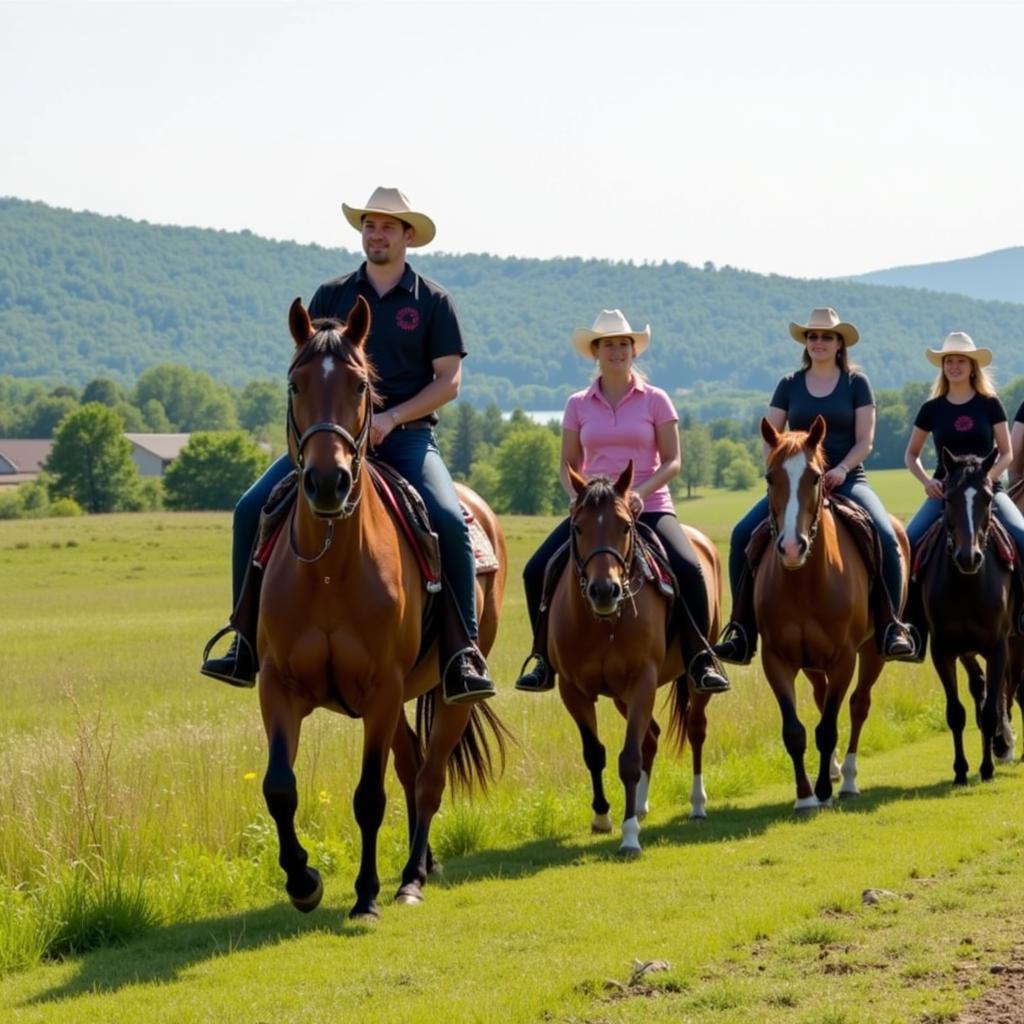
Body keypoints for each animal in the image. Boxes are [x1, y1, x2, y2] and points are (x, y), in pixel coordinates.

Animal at [260, 299, 507, 921]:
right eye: (295, 384)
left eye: (361, 384)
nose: (327, 482)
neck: (329, 566)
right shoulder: (278, 685)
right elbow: (279, 787)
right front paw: (303, 882)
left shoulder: (382, 688)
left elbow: (369, 796)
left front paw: (366, 895)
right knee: (412, 766)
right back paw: (425, 864)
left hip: (446, 694)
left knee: (429, 778)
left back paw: (412, 877)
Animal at [548, 460, 724, 851]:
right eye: (577, 527)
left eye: (625, 526)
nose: (604, 590)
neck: (603, 622)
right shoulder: (573, 690)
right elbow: (594, 753)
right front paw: (602, 817)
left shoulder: (642, 681)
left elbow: (628, 758)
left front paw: (629, 836)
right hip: (620, 696)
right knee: (652, 736)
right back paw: (641, 805)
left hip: (692, 682)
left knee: (695, 729)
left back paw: (697, 804)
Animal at [757, 413, 909, 806]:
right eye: (770, 477)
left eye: (815, 476)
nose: (791, 548)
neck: (805, 583)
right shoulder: (776, 659)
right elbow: (795, 730)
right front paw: (805, 795)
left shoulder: (844, 659)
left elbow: (828, 727)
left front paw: (824, 790)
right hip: (812, 662)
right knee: (822, 697)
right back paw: (837, 770)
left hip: (873, 652)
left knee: (858, 705)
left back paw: (849, 779)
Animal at [917, 448, 1011, 782]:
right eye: (948, 497)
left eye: (987, 497)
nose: (968, 557)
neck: (967, 583)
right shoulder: (943, 650)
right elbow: (956, 712)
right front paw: (960, 770)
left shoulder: (998, 647)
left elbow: (990, 711)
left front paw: (988, 768)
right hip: (967, 650)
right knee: (979, 687)